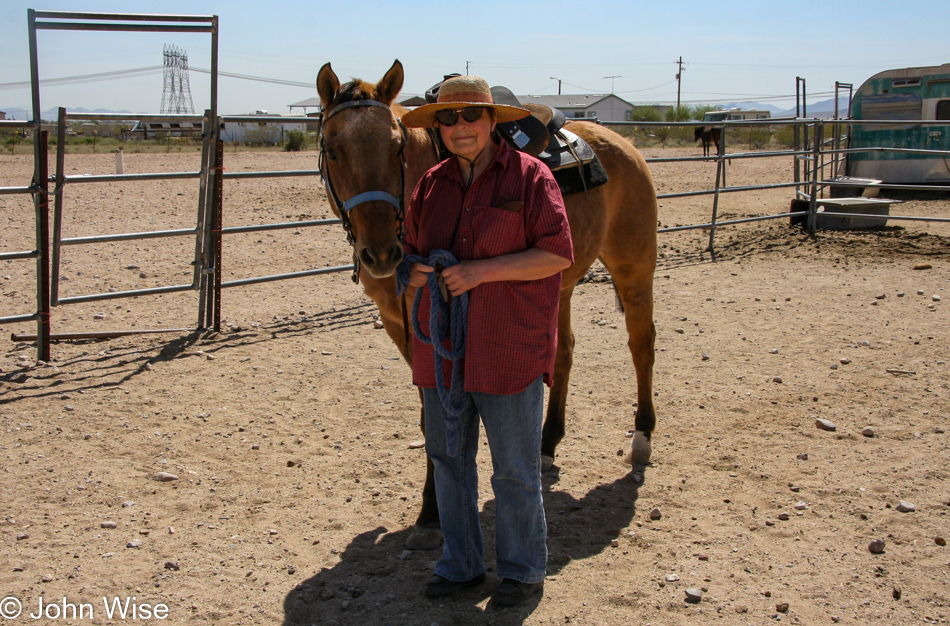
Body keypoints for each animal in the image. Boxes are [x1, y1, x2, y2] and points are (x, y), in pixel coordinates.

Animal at [316, 58, 660, 544]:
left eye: (397, 147)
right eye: (332, 149)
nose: (381, 253)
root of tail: (623, 144)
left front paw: (433, 509)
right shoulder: (399, 324)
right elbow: (430, 413)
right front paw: (434, 506)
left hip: (634, 267)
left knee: (641, 343)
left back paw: (641, 440)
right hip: (559, 284)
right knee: (563, 353)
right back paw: (547, 445)